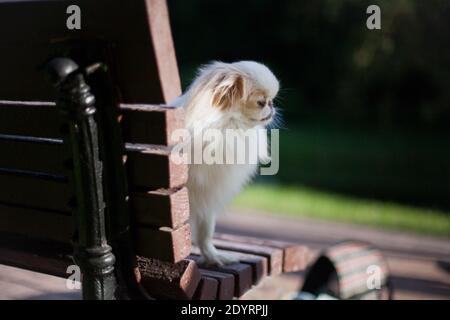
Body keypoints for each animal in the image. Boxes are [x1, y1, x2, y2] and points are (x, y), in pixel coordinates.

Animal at [171, 61, 280, 266]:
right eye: (261, 102)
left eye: (271, 101)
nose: (271, 106)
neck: (229, 128)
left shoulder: (208, 195)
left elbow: (206, 231)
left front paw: (212, 257)